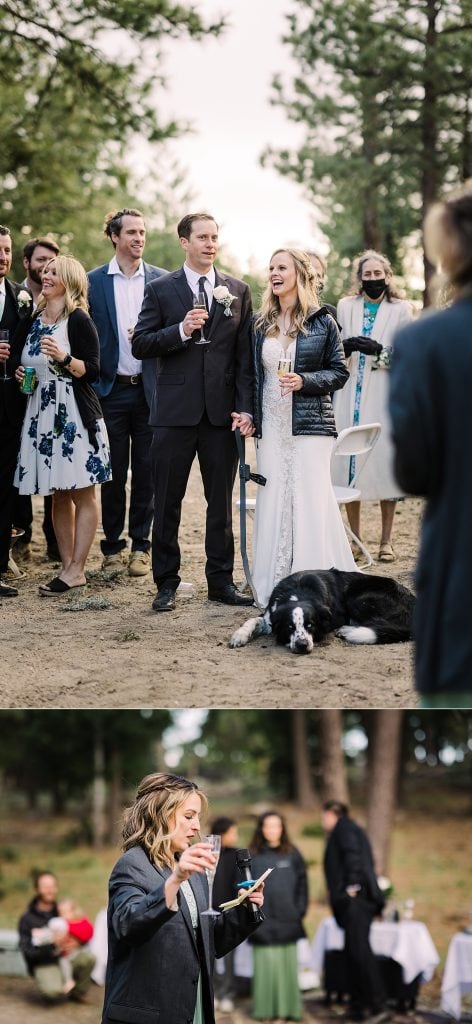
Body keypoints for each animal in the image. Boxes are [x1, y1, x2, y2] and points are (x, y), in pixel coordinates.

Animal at [228, 569, 411, 655]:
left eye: (310, 625)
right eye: (289, 627)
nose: (302, 645)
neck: (298, 592)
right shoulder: (270, 615)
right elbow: (252, 621)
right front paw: (239, 636)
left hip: (357, 599)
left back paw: (348, 630)